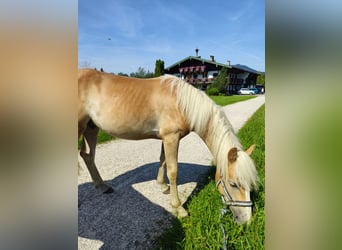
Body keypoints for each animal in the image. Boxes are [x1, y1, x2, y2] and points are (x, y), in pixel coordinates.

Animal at [77, 69, 258, 225]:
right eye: (233, 184)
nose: (246, 221)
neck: (181, 102)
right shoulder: (171, 137)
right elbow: (173, 170)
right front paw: (179, 208)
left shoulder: (165, 138)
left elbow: (163, 160)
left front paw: (163, 186)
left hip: (91, 128)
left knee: (87, 156)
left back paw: (102, 186)